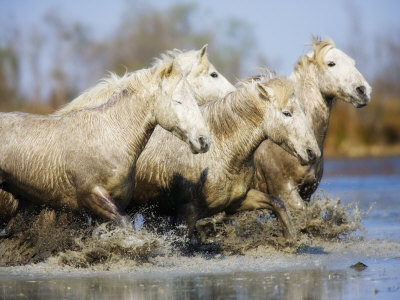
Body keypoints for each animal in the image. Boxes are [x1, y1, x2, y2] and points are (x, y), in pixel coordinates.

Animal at [130, 76, 320, 240]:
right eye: (287, 113)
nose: (313, 152)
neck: (220, 152)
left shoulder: (236, 202)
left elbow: (277, 203)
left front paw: (290, 239)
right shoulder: (187, 213)